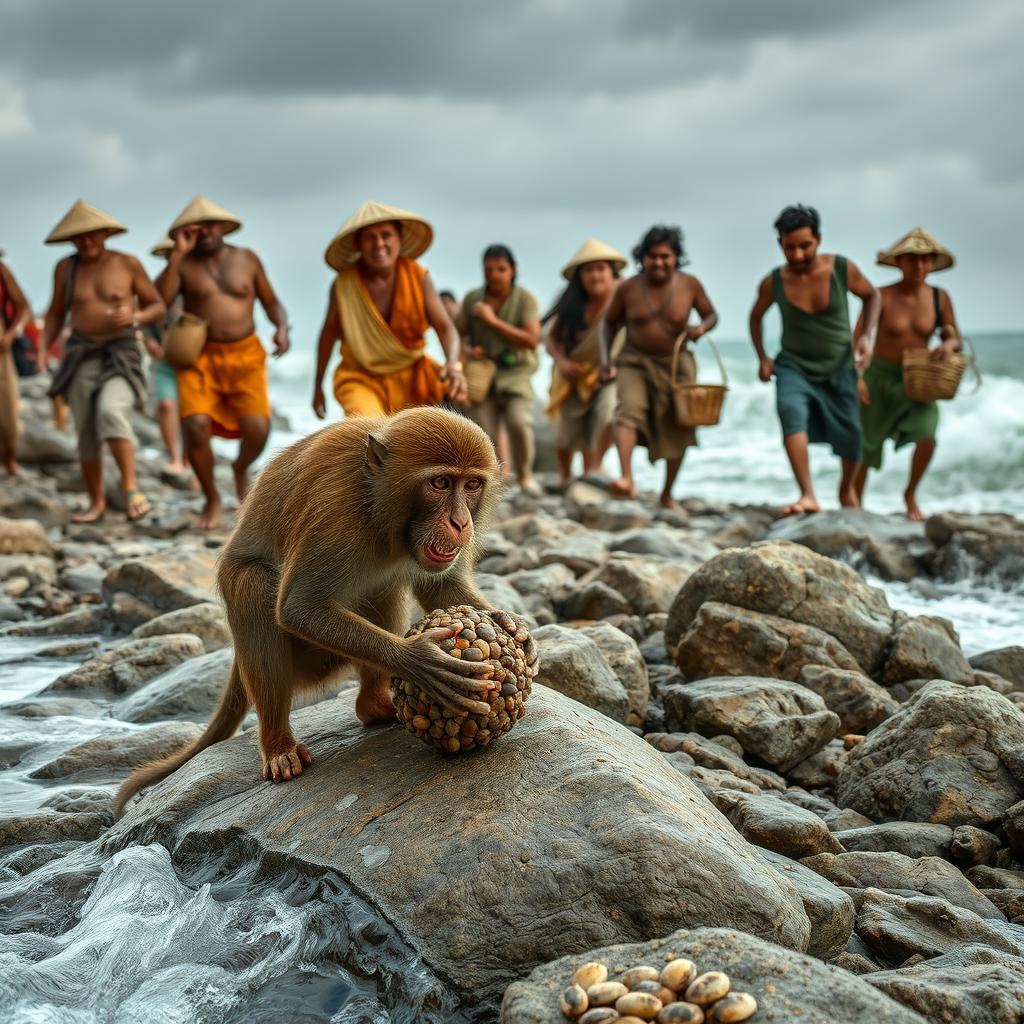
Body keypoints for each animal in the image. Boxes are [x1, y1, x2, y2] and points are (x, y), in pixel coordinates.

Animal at [115, 406, 514, 819]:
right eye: (440, 482)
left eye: (472, 485)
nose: (461, 523)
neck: (376, 502)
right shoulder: (334, 509)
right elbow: (300, 608)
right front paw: (418, 660)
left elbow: (438, 586)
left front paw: (506, 623)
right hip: (304, 658)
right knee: (253, 588)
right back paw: (278, 746)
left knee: (381, 586)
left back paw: (373, 706)